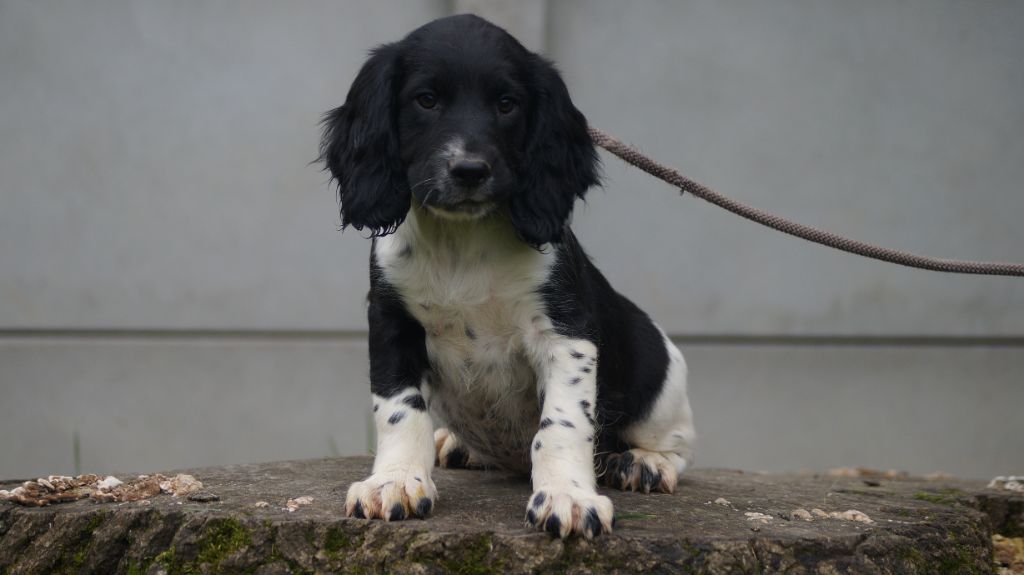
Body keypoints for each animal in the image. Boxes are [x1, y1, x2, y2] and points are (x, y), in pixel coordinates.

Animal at [317, 13, 696, 536]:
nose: (469, 170)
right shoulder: (391, 322)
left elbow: (562, 424)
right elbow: (399, 411)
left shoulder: (565, 334)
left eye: (506, 104)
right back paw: (455, 443)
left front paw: (567, 496)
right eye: (426, 99)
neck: (462, 244)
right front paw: (394, 482)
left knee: (677, 441)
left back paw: (644, 462)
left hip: (658, 374)